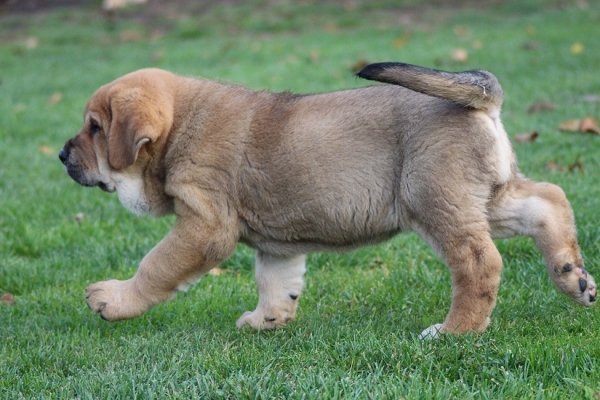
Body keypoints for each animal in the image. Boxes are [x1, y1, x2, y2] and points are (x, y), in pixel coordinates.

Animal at [58, 63, 592, 338]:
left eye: (95, 128)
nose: (62, 155)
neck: (181, 128)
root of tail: (484, 100)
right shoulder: (274, 245)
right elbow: (275, 282)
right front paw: (268, 320)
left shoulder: (204, 227)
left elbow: (155, 266)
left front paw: (113, 298)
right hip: (486, 199)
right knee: (549, 199)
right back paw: (574, 277)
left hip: (435, 202)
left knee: (480, 265)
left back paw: (454, 331)